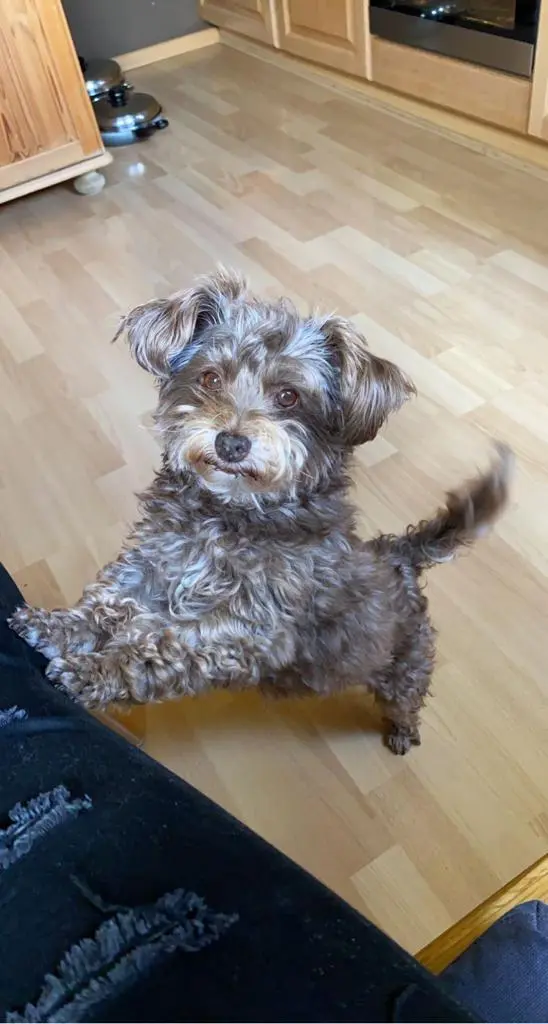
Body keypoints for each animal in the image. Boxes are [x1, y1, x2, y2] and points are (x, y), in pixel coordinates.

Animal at [10, 268, 512, 754]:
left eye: (289, 396)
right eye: (211, 378)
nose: (230, 443)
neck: (229, 516)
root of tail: (399, 554)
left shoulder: (243, 631)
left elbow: (160, 648)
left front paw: (92, 672)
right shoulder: (149, 570)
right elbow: (106, 604)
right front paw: (54, 626)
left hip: (405, 662)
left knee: (408, 696)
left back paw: (403, 732)